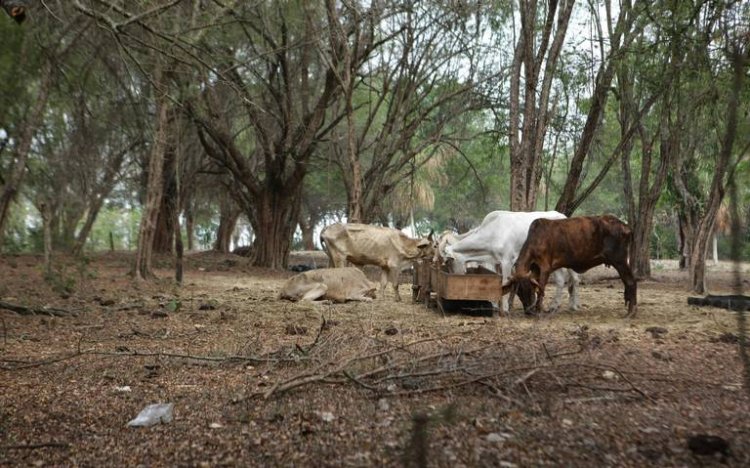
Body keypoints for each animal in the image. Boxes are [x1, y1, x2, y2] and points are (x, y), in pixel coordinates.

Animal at [444, 211, 584, 314]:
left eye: (449, 262)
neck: (493, 233)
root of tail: (564, 216)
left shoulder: (507, 260)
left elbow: (505, 282)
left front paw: (505, 308)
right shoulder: (495, 262)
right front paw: (496, 305)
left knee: (574, 279)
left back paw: (572, 306)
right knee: (563, 280)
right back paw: (557, 306)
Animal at [506, 214, 640, 316]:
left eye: (529, 288)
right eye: (519, 292)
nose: (528, 311)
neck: (536, 239)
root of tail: (625, 226)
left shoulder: (545, 267)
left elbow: (541, 289)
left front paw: (539, 310)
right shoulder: (536, 269)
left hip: (620, 261)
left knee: (631, 282)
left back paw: (631, 312)